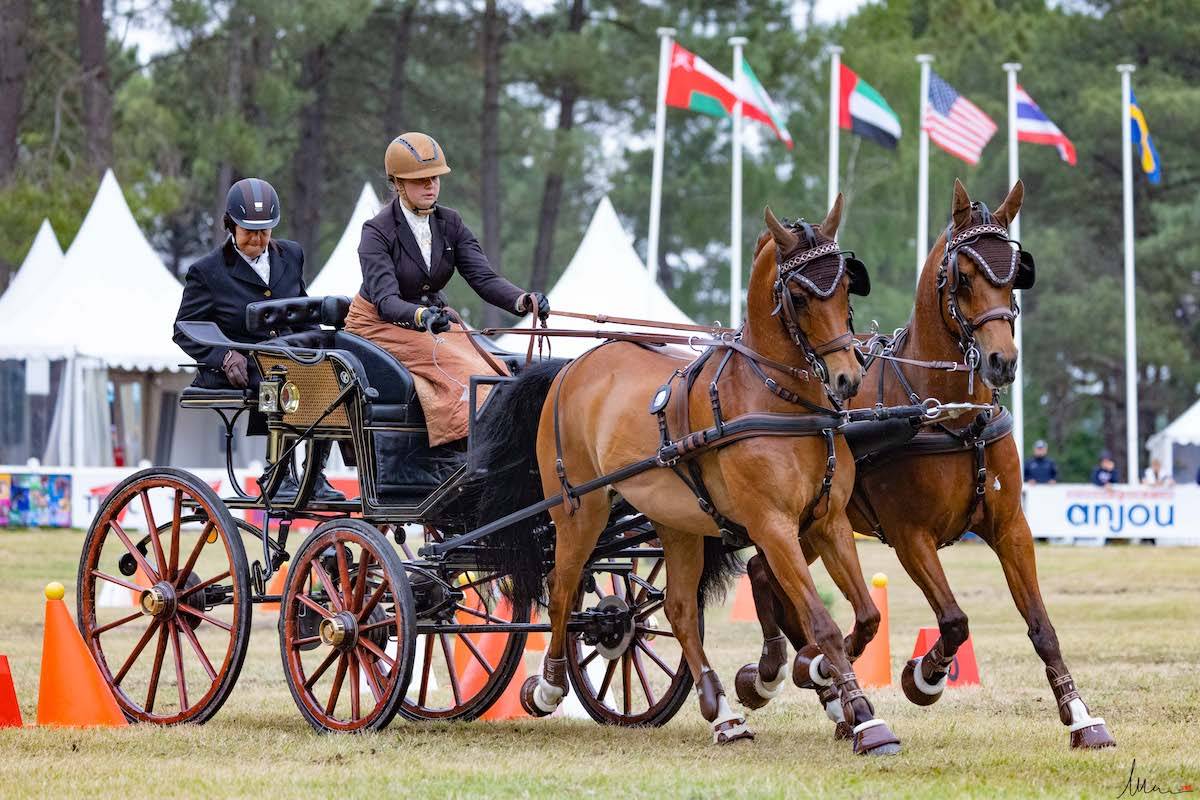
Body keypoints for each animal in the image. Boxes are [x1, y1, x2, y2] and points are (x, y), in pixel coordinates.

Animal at [472, 196, 902, 753]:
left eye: (847, 286)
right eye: (800, 297)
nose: (849, 379)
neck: (779, 401)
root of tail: (570, 367)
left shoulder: (827, 522)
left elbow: (866, 615)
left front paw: (822, 679)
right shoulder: (773, 528)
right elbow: (821, 622)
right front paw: (862, 715)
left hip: (674, 519)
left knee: (676, 609)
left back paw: (722, 713)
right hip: (578, 510)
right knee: (562, 587)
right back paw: (547, 687)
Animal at [734, 179, 1118, 753]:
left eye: (1016, 274)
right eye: (963, 277)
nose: (1002, 361)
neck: (953, 417)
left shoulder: (1011, 527)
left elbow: (1041, 627)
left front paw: (1080, 717)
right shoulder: (910, 535)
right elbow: (954, 619)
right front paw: (924, 676)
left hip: (812, 520)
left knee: (764, 572)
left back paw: (807, 685)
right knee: (768, 574)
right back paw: (786, 673)